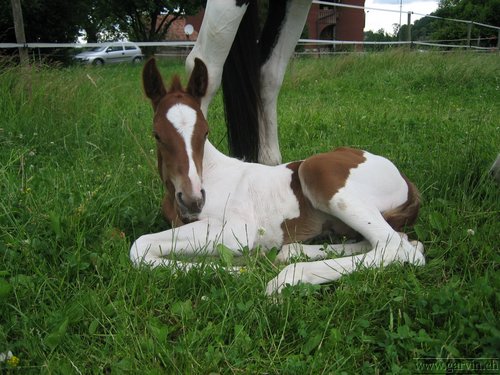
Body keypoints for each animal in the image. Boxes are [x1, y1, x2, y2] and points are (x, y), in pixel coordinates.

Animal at [132, 58, 426, 296]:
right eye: (157, 135)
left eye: (205, 132)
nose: (193, 199)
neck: (209, 173)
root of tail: (404, 179)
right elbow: (142, 249)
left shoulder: (237, 230)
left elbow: (138, 244)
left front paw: (240, 270)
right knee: (399, 240)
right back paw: (288, 253)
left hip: (317, 171)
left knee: (397, 247)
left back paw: (285, 279)